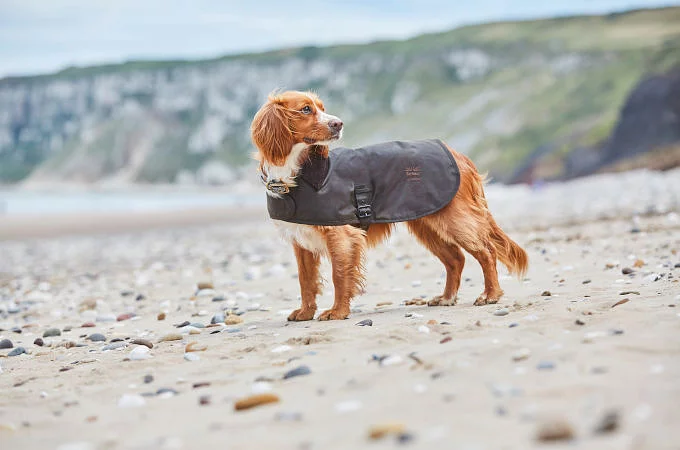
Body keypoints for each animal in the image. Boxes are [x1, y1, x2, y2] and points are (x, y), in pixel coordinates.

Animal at [252, 89, 528, 320]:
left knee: (486, 252)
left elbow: (339, 276)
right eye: (306, 109)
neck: (299, 174)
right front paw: (306, 312)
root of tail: (457, 153)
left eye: (322, 108)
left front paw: (338, 312)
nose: (338, 124)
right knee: (456, 260)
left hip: (455, 219)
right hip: (427, 225)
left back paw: (490, 295)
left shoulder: (341, 236)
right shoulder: (301, 242)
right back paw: (447, 297)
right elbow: (305, 281)